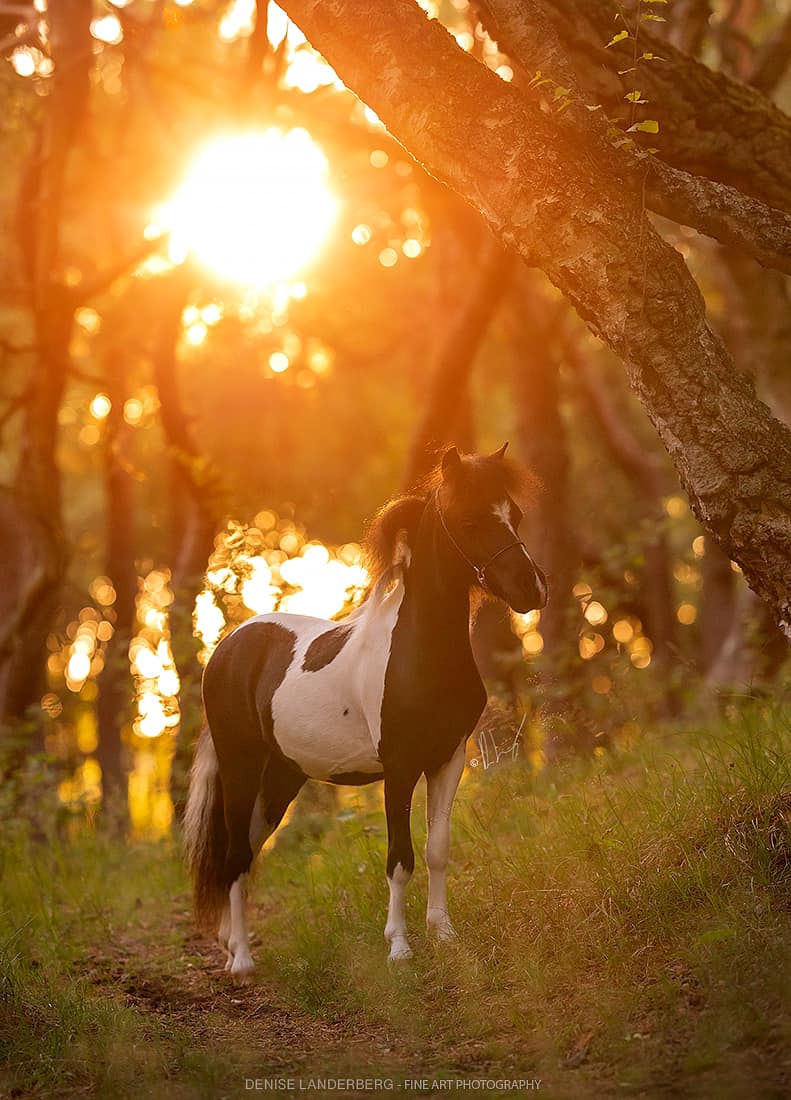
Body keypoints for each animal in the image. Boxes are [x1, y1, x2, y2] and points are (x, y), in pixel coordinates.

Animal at [184, 444, 547, 977]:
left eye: (515, 514)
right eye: (469, 519)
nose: (532, 588)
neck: (422, 653)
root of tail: (228, 647)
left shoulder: (448, 760)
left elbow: (437, 850)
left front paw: (444, 935)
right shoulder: (399, 767)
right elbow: (400, 857)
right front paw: (399, 947)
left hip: (281, 778)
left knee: (246, 849)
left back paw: (232, 944)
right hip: (241, 767)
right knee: (233, 853)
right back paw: (243, 962)